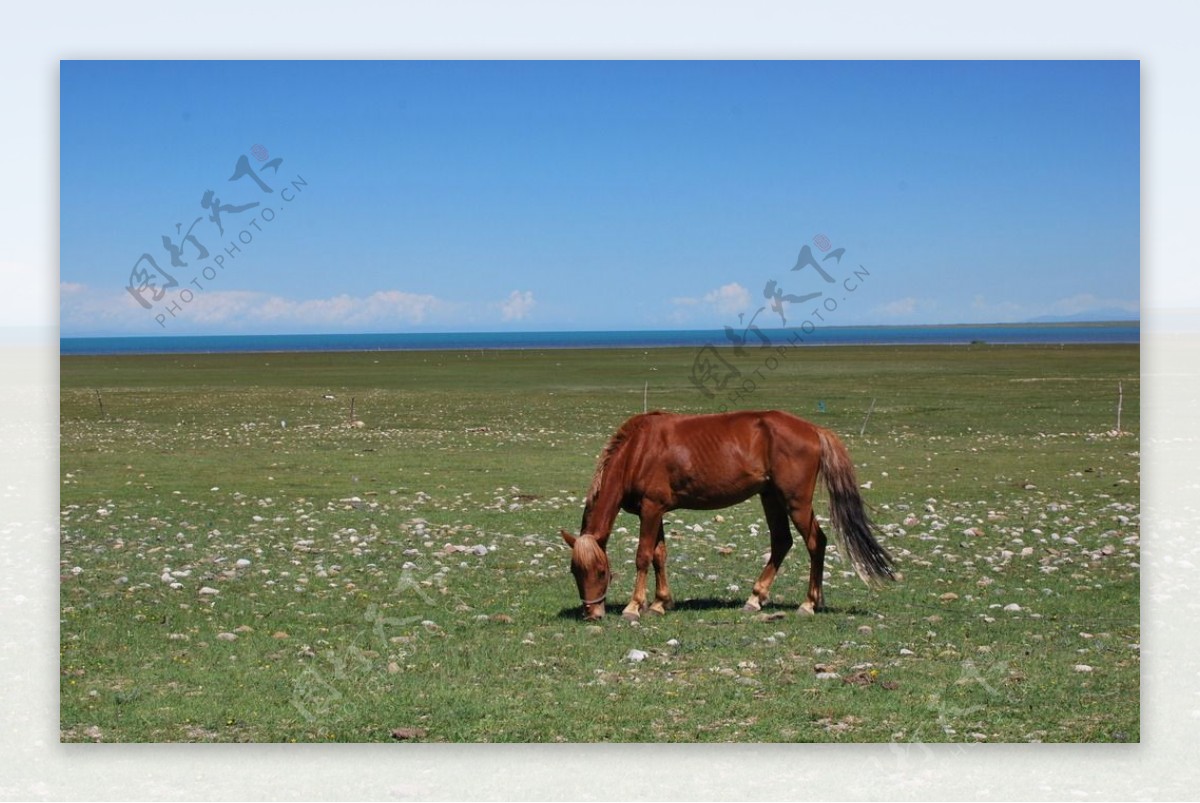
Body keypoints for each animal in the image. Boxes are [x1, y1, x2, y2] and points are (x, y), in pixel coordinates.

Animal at [559, 410, 892, 619]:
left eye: (602, 572)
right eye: (575, 572)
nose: (592, 613)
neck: (638, 450)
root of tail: (814, 430)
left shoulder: (651, 509)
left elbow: (643, 556)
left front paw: (634, 606)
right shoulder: (656, 511)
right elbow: (659, 556)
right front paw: (660, 603)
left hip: (795, 502)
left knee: (815, 542)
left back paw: (809, 603)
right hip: (770, 497)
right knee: (782, 542)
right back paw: (756, 598)